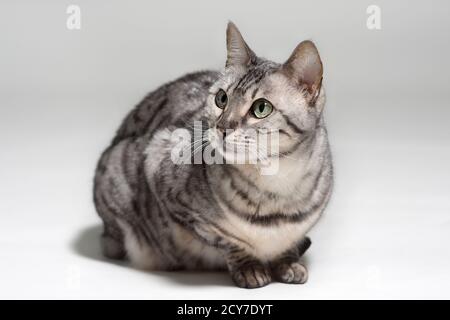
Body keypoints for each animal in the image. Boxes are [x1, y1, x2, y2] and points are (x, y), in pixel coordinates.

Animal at [94, 21, 334, 288]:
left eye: (261, 108)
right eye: (221, 98)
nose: (222, 127)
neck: (277, 189)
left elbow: (288, 243)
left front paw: (288, 262)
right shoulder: (162, 169)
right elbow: (228, 240)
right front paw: (249, 267)